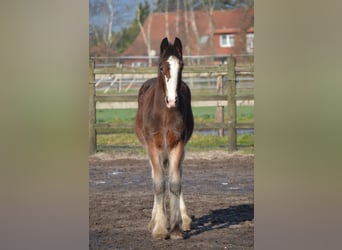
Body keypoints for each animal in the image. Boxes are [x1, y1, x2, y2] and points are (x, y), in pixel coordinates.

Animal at [135, 37, 194, 240]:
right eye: (161, 67)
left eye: (181, 65)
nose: (172, 100)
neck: (165, 114)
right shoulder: (154, 146)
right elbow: (159, 184)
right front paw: (160, 229)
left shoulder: (178, 145)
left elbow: (175, 184)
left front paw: (175, 228)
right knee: (156, 176)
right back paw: (153, 221)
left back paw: (185, 220)